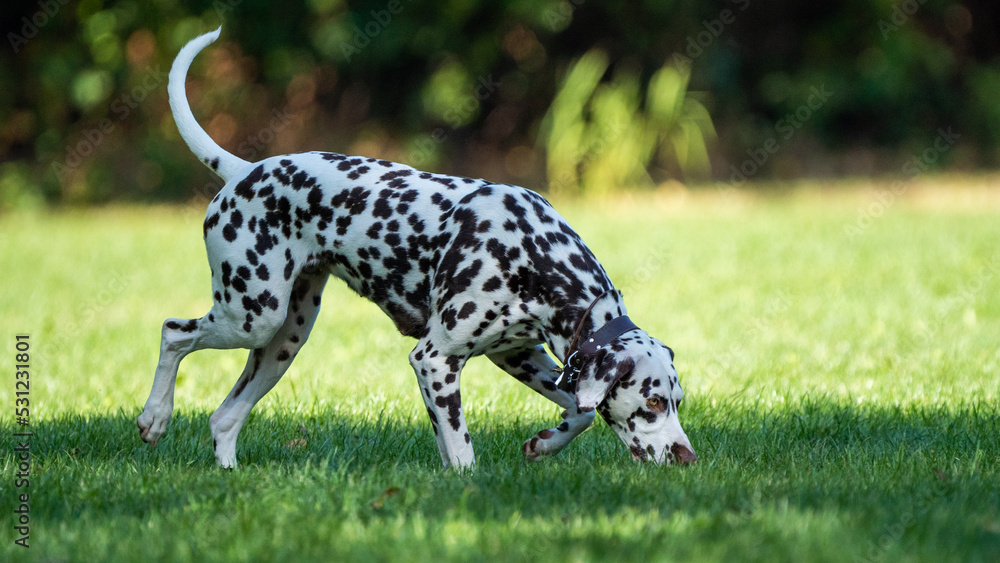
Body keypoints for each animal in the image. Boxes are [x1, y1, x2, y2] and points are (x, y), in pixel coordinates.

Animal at [137, 28, 696, 470]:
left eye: (678, 401)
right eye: (651, 404)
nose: (687, 457)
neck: (534, 255)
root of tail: (244, 170)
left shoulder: (519, 356)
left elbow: (579, 412)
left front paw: (543, 443)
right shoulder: (435, 360)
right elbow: (463, 450)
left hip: (281, 341)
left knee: (223, 418)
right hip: (251, 316)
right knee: (173, 333)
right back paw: (154, 417)